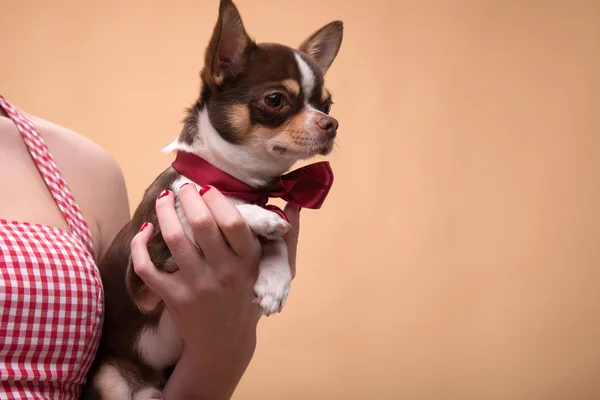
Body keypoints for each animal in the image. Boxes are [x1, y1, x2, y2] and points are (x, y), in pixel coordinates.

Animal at [81, 1, 342, 398]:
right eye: (275, 100)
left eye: (326, 105)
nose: (332, 124)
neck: (235, 180)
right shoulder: (144, 275)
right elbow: (202, 208)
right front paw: (258, 217)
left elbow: (276, 242)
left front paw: (275, 281)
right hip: (109, 378)